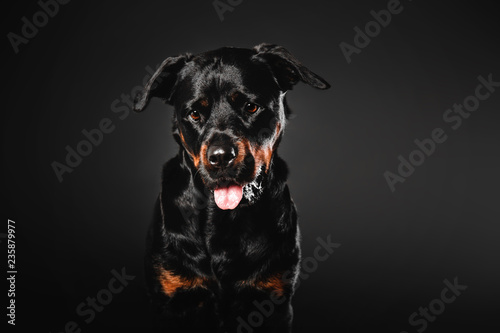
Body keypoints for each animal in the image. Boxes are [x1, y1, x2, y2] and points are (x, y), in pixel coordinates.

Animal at [133, 42, 330, 330]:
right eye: (194, 113)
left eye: (251, 107)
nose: (220, 157)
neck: (224, 219)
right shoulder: (171, 299)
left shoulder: (274, 300)